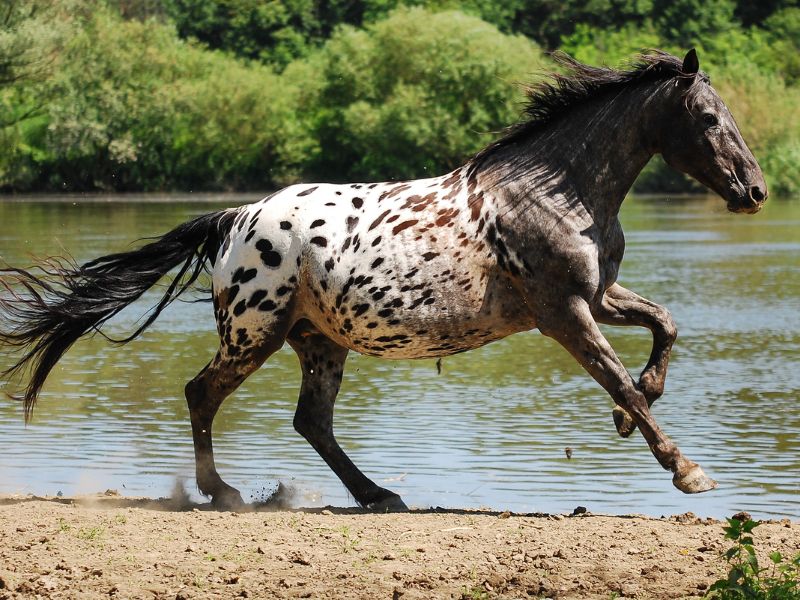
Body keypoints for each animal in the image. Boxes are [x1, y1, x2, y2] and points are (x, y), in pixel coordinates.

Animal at [0, 49, 767, 511]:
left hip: (317, 340)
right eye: (707, 118)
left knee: (310, 420)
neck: (556, 191)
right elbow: (619, 378)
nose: (755, 191)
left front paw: (633, 411)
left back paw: (375, 495)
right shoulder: (563, 313)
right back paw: (225, 493)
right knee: (202, 393)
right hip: (255, 331)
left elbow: (665, 326)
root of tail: (235, 217)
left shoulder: (597, 298)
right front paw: (687, 470)